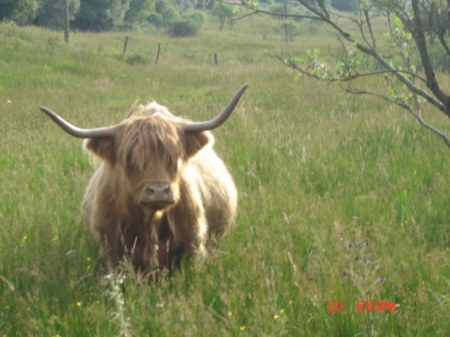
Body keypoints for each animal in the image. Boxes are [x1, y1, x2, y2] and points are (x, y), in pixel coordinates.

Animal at [40, 84, 248, 272]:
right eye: (129, 157)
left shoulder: (193, 244)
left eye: (175, 156)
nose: (159, 191)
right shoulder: (111, 249)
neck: (151, 223)